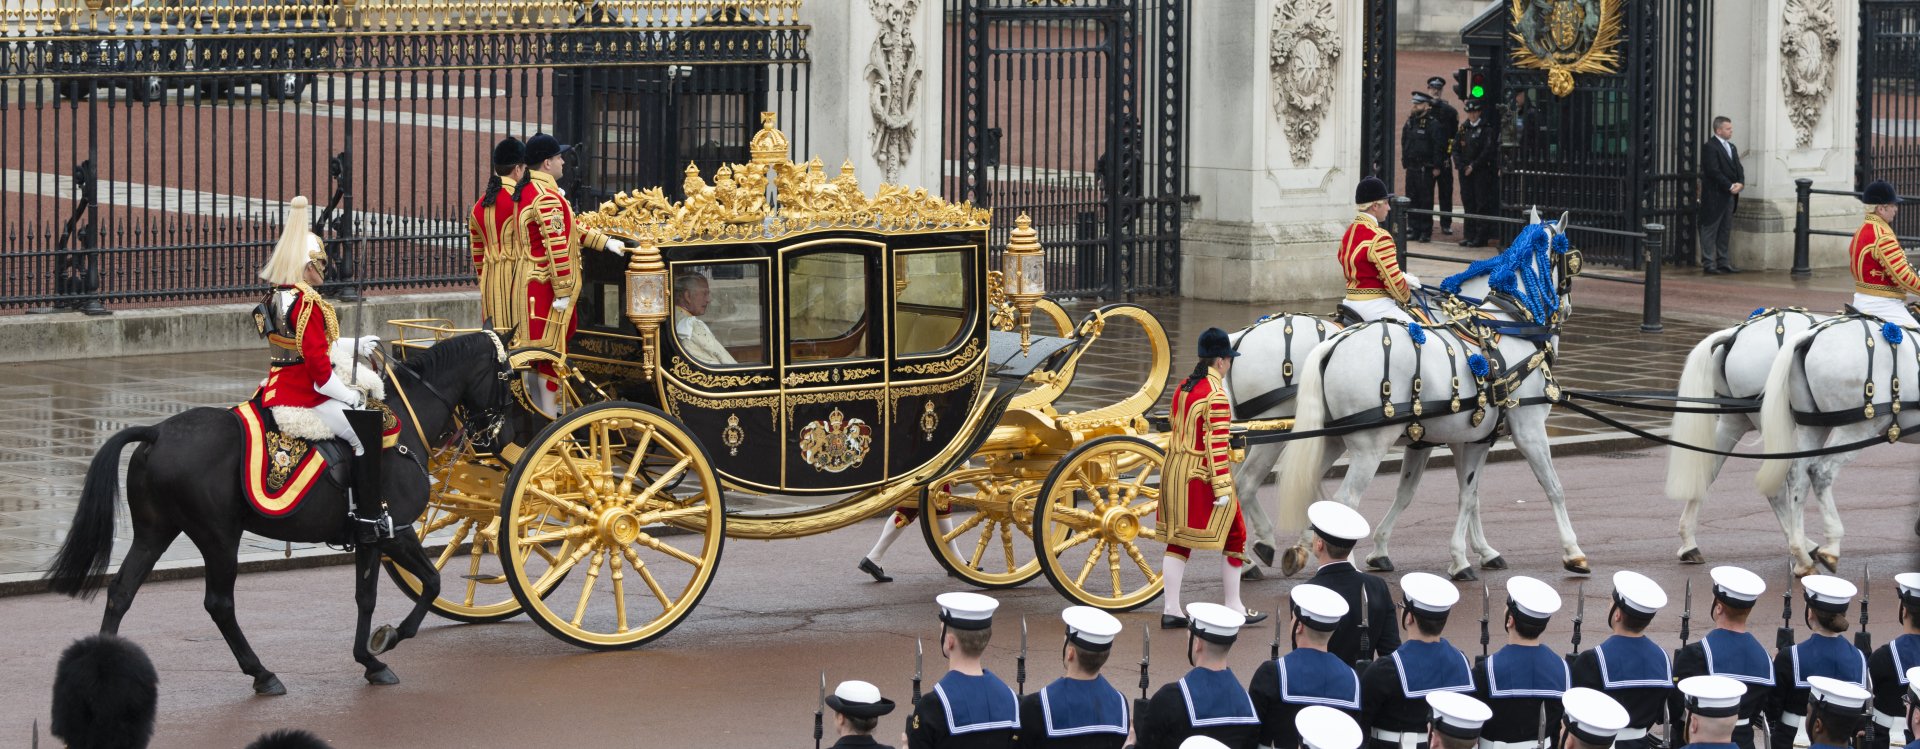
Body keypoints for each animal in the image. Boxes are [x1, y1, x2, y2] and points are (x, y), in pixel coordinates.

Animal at [45, 334, 510, 695]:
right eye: (508, 376)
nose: (497, 435)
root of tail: (157, 432)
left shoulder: (371, 536)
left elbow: (366, 597)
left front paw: (369, 659)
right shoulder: (394, 530)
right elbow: (430, 583)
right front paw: (388, 639)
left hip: (155, 531)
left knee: (122, 591)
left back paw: (104, 673)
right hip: (218, 536)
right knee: (218, 603)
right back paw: (262, 673)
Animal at [1274, 216, 1589, 579]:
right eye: (1571, 260)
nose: (1566, 310)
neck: (1508, 323)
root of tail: (1335, 342)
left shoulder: (1467, 439)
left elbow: (1460, 494)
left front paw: (1466, 555)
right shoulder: (1530, 431)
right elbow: (1553, 487)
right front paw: (1573, 552)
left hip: (1330, 440)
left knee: (1314, 492)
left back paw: (1301, 550)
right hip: (1370, 447)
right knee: (1345, 501)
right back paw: (1342, 564)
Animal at [1666, 309, 1827, 560]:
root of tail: (1734, 335)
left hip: (1734, 421)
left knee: (1708, 470)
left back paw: (1688, 541)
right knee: (1777, 483)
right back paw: (1802, 544)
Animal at [1758, 314, 1920, 572]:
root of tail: (1812, 335)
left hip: (1813, 427)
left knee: (1797, 476)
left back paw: (1802, 556)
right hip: (1856, 430)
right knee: (1821, 472)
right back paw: (1831, 545)